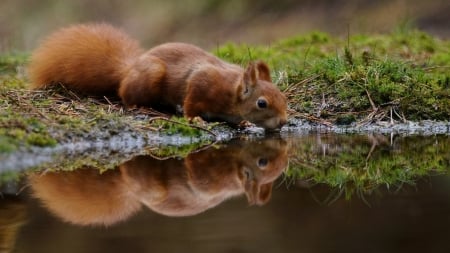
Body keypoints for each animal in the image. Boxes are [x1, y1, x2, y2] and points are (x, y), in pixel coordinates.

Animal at [29, 23, 288, 129]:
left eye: (284, 98)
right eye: (262, 103)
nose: (284, 122)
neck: (232, 92)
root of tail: (129, 69)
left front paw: (243, 122)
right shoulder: (202, 82)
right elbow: (191, 102)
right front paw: (195, 119)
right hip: (150, 76)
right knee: (126, 96)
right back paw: (143, 107)